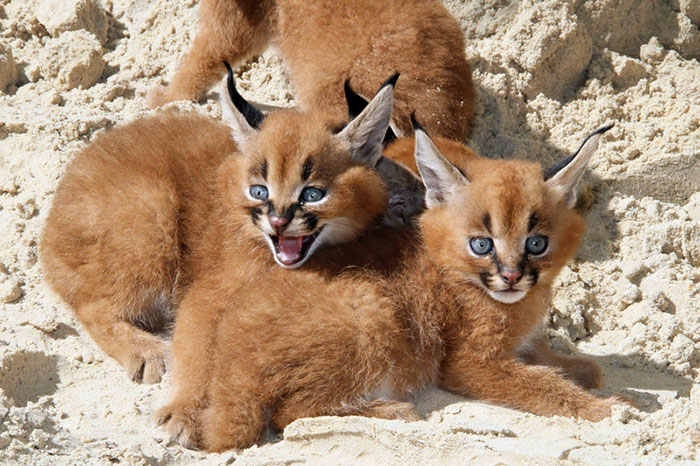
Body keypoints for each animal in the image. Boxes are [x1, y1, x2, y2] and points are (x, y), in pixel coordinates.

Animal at [39, 69, 416, 382]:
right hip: (150, 213)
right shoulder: (208, 292)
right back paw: (145, 352)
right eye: (259, 191)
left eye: (313, 194)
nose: (279, 221)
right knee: (93, 306)